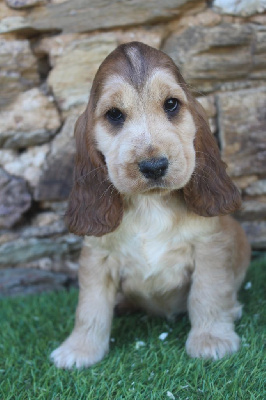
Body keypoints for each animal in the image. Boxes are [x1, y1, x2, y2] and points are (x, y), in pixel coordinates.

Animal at [51, 41, 250, 368]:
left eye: (171, 104)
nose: (154, 166)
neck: (150, 204)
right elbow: (90, 308)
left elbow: (207, 293)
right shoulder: (97, 257)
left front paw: (211, 340)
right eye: (114, 114)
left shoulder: (210, 246)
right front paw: (79, 350)